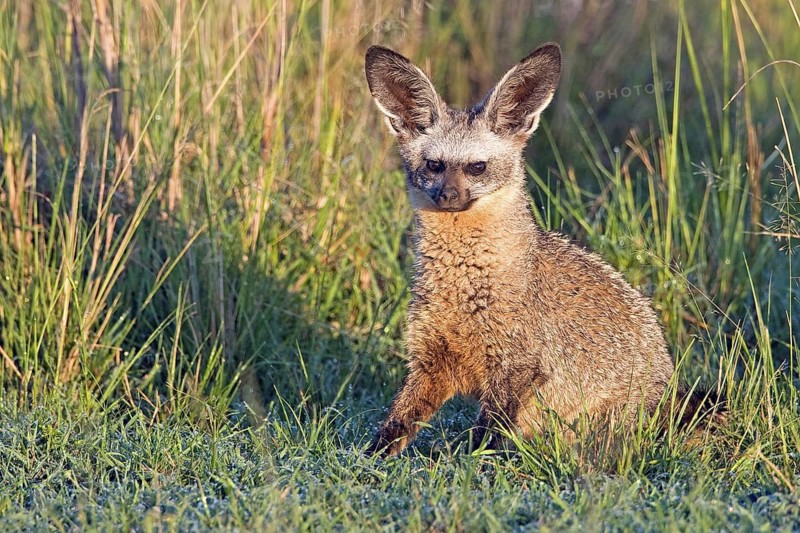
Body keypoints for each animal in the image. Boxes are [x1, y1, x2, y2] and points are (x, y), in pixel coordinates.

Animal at [364, 43, 723, 457]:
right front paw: (369, 457)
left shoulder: (517, 367)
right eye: (434, 165)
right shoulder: (430, 358)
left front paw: (472, 464)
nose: (449, 197)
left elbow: (486, 437)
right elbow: (398, 421)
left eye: (477, 167)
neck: (466, 285)